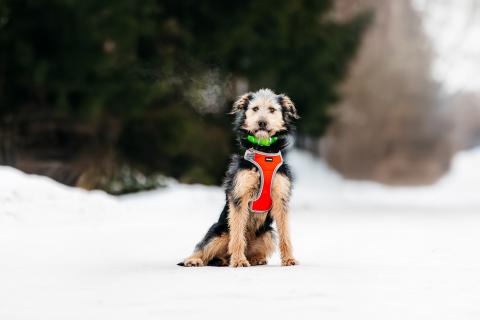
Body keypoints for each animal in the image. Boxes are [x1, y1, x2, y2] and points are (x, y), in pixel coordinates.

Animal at [180, 88, 300, 268]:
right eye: (255, 109)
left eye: (272, 110)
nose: (262, 123)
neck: (264, 150)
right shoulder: (239, 196)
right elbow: (237, 234)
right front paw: (238, 261)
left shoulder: (281, 198)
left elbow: (285, 233)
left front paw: (289, 259)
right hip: (219, 232)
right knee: (204, 248)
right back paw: (195, 260)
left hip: (268, 234)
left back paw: (254, 259)